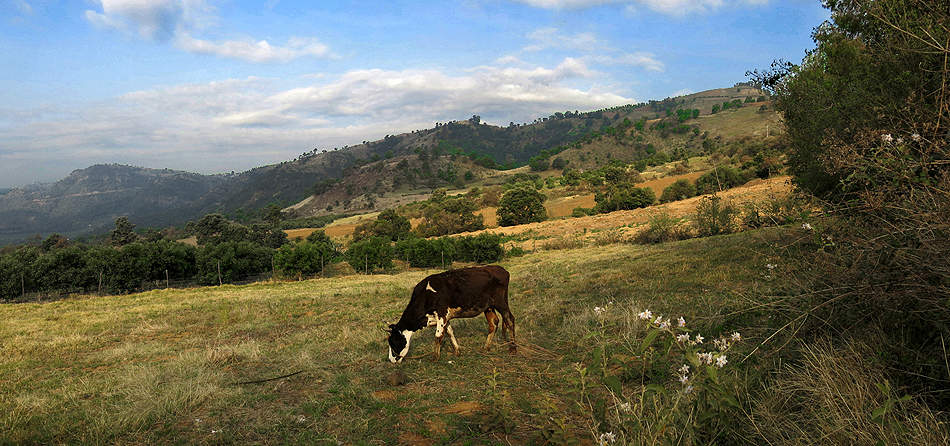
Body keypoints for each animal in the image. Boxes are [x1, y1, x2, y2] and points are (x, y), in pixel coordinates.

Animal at [387, 265, 515, 363]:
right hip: (488, 306)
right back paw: (486, 347)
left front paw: (435, 358)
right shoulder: (445, 318)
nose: (391, 360)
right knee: (493, 323)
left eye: (393, 342)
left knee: (509, 319)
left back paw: (513, 348)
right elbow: (450, 332)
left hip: (500, 301)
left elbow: (438, 336)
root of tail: (500, 269)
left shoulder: (441, 313)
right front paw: (457, 351)